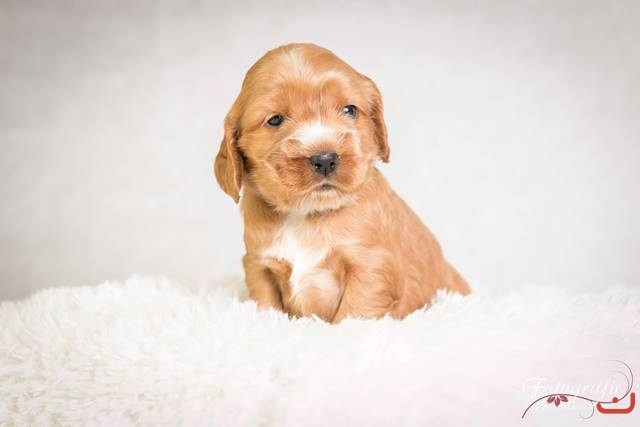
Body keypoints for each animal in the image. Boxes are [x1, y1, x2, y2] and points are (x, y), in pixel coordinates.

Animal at [215, 43, 470, 323]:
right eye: (275, 120)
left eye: (349, 110)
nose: (325, 159)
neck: (308, 214)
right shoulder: (259, 265)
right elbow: (266, 305)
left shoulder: (372, 265)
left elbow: (354, 312)